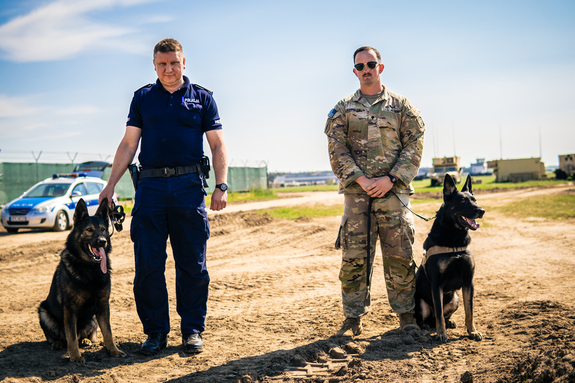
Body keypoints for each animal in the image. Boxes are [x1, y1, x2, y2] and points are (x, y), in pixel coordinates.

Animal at [37, 200, 125, 364]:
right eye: (89, 230)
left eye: (103, 229)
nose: (102, 242)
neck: (89, 267)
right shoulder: (70, 309)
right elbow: (71, 336)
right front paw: (75, 357)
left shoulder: (103, 305)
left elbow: (108, 332)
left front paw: (113, 351)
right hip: (43, 312)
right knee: (62, 337)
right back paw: (59, 343)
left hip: (92, 319)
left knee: (82, 335)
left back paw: (85, 340)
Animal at [416, 176, 484, 344]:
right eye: (463, 201)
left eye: (474, 199)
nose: (482, 211)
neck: (455, 237)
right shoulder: (437, 284)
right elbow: (439, 313)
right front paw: (441, 334)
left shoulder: (468, 283)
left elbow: (470, 311)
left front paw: (472, 332)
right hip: (420, 304)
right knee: (428, 318)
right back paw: (425, 326)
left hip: (455, 299)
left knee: (443, 316)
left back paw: (450, 322)